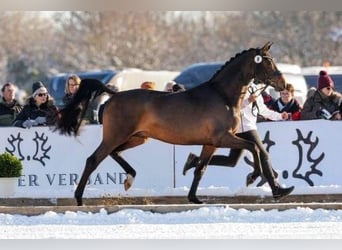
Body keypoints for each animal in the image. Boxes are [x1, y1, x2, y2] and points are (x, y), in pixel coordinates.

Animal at [55, 41, 286, 205]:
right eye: (267, 60)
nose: (283, 84)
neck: (223, 96)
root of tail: (113, 95)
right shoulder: (222, 137)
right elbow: (253, 146)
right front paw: (253, 176)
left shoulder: (210, 143)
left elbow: (201, 168)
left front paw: (194, 198)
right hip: (116, 135)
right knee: (93, 159)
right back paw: (79, 198)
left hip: (137, 138)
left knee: (114, 153)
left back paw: (129, 178)